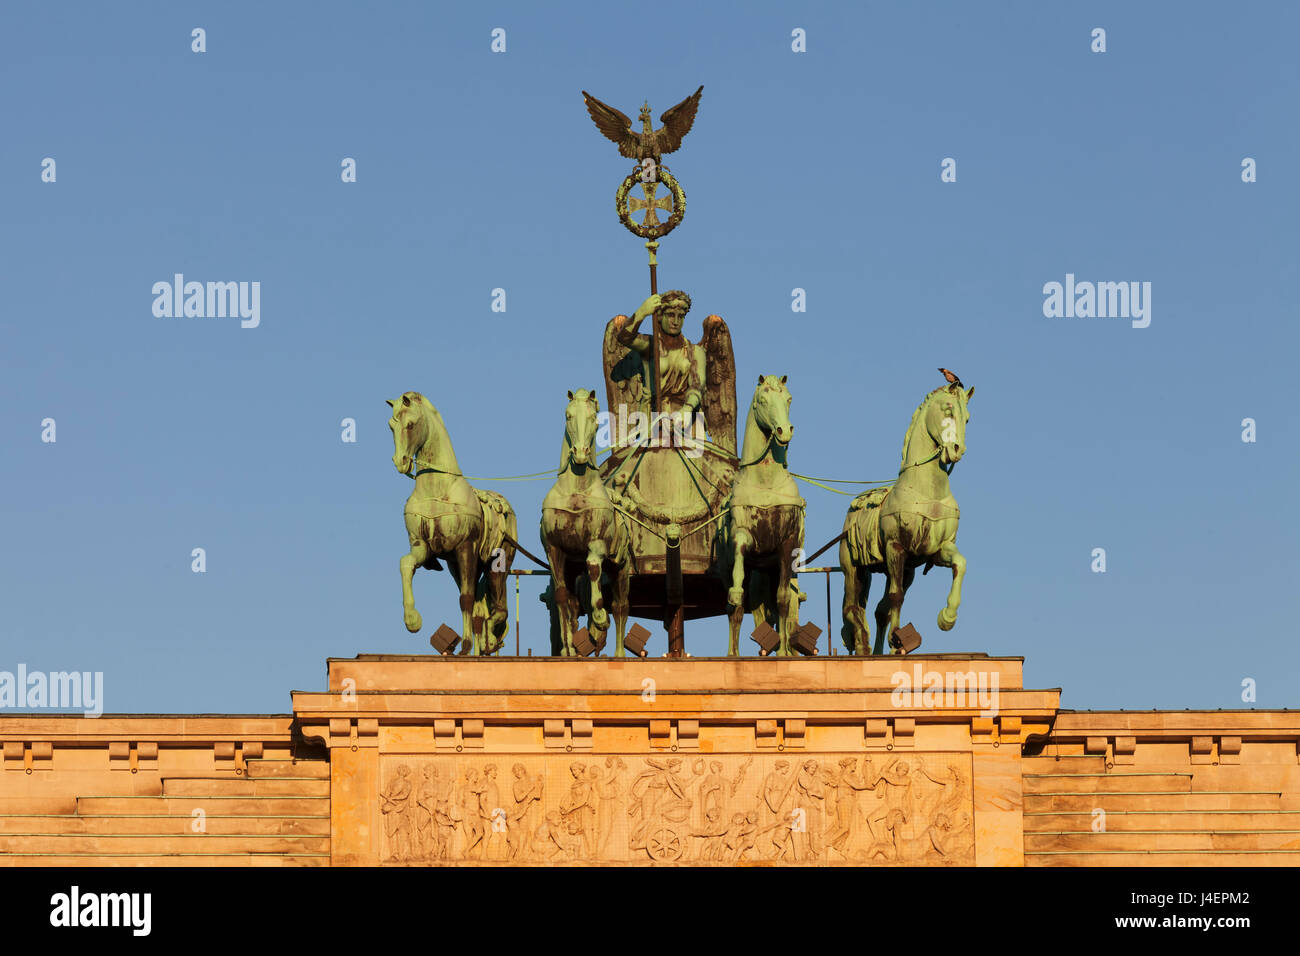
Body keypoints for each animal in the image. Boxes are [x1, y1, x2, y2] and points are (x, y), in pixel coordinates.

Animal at [382, 392, 514, 655]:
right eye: (391, 426)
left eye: (410, 424)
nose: (400, 462)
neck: (436, 490)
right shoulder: (423, 547)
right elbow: (405, 564)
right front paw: (412, 621)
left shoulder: (466, 548)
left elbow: (466, 598)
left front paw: (465, 646)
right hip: (456, 565)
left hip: (497, 562)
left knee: (498, 606)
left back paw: (488, 639)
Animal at [837, 385, 972, 655]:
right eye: (948, 409)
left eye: (968, 418)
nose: (957, 450)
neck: (927, 492)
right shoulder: (895, 547)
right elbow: (896, 596)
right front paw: (895, 638)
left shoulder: (937, 550)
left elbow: (960, 564)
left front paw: (947, 617)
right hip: (853, 568)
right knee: (853, 607)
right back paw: (864, 645)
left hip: (903, 569)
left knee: (880, 610)